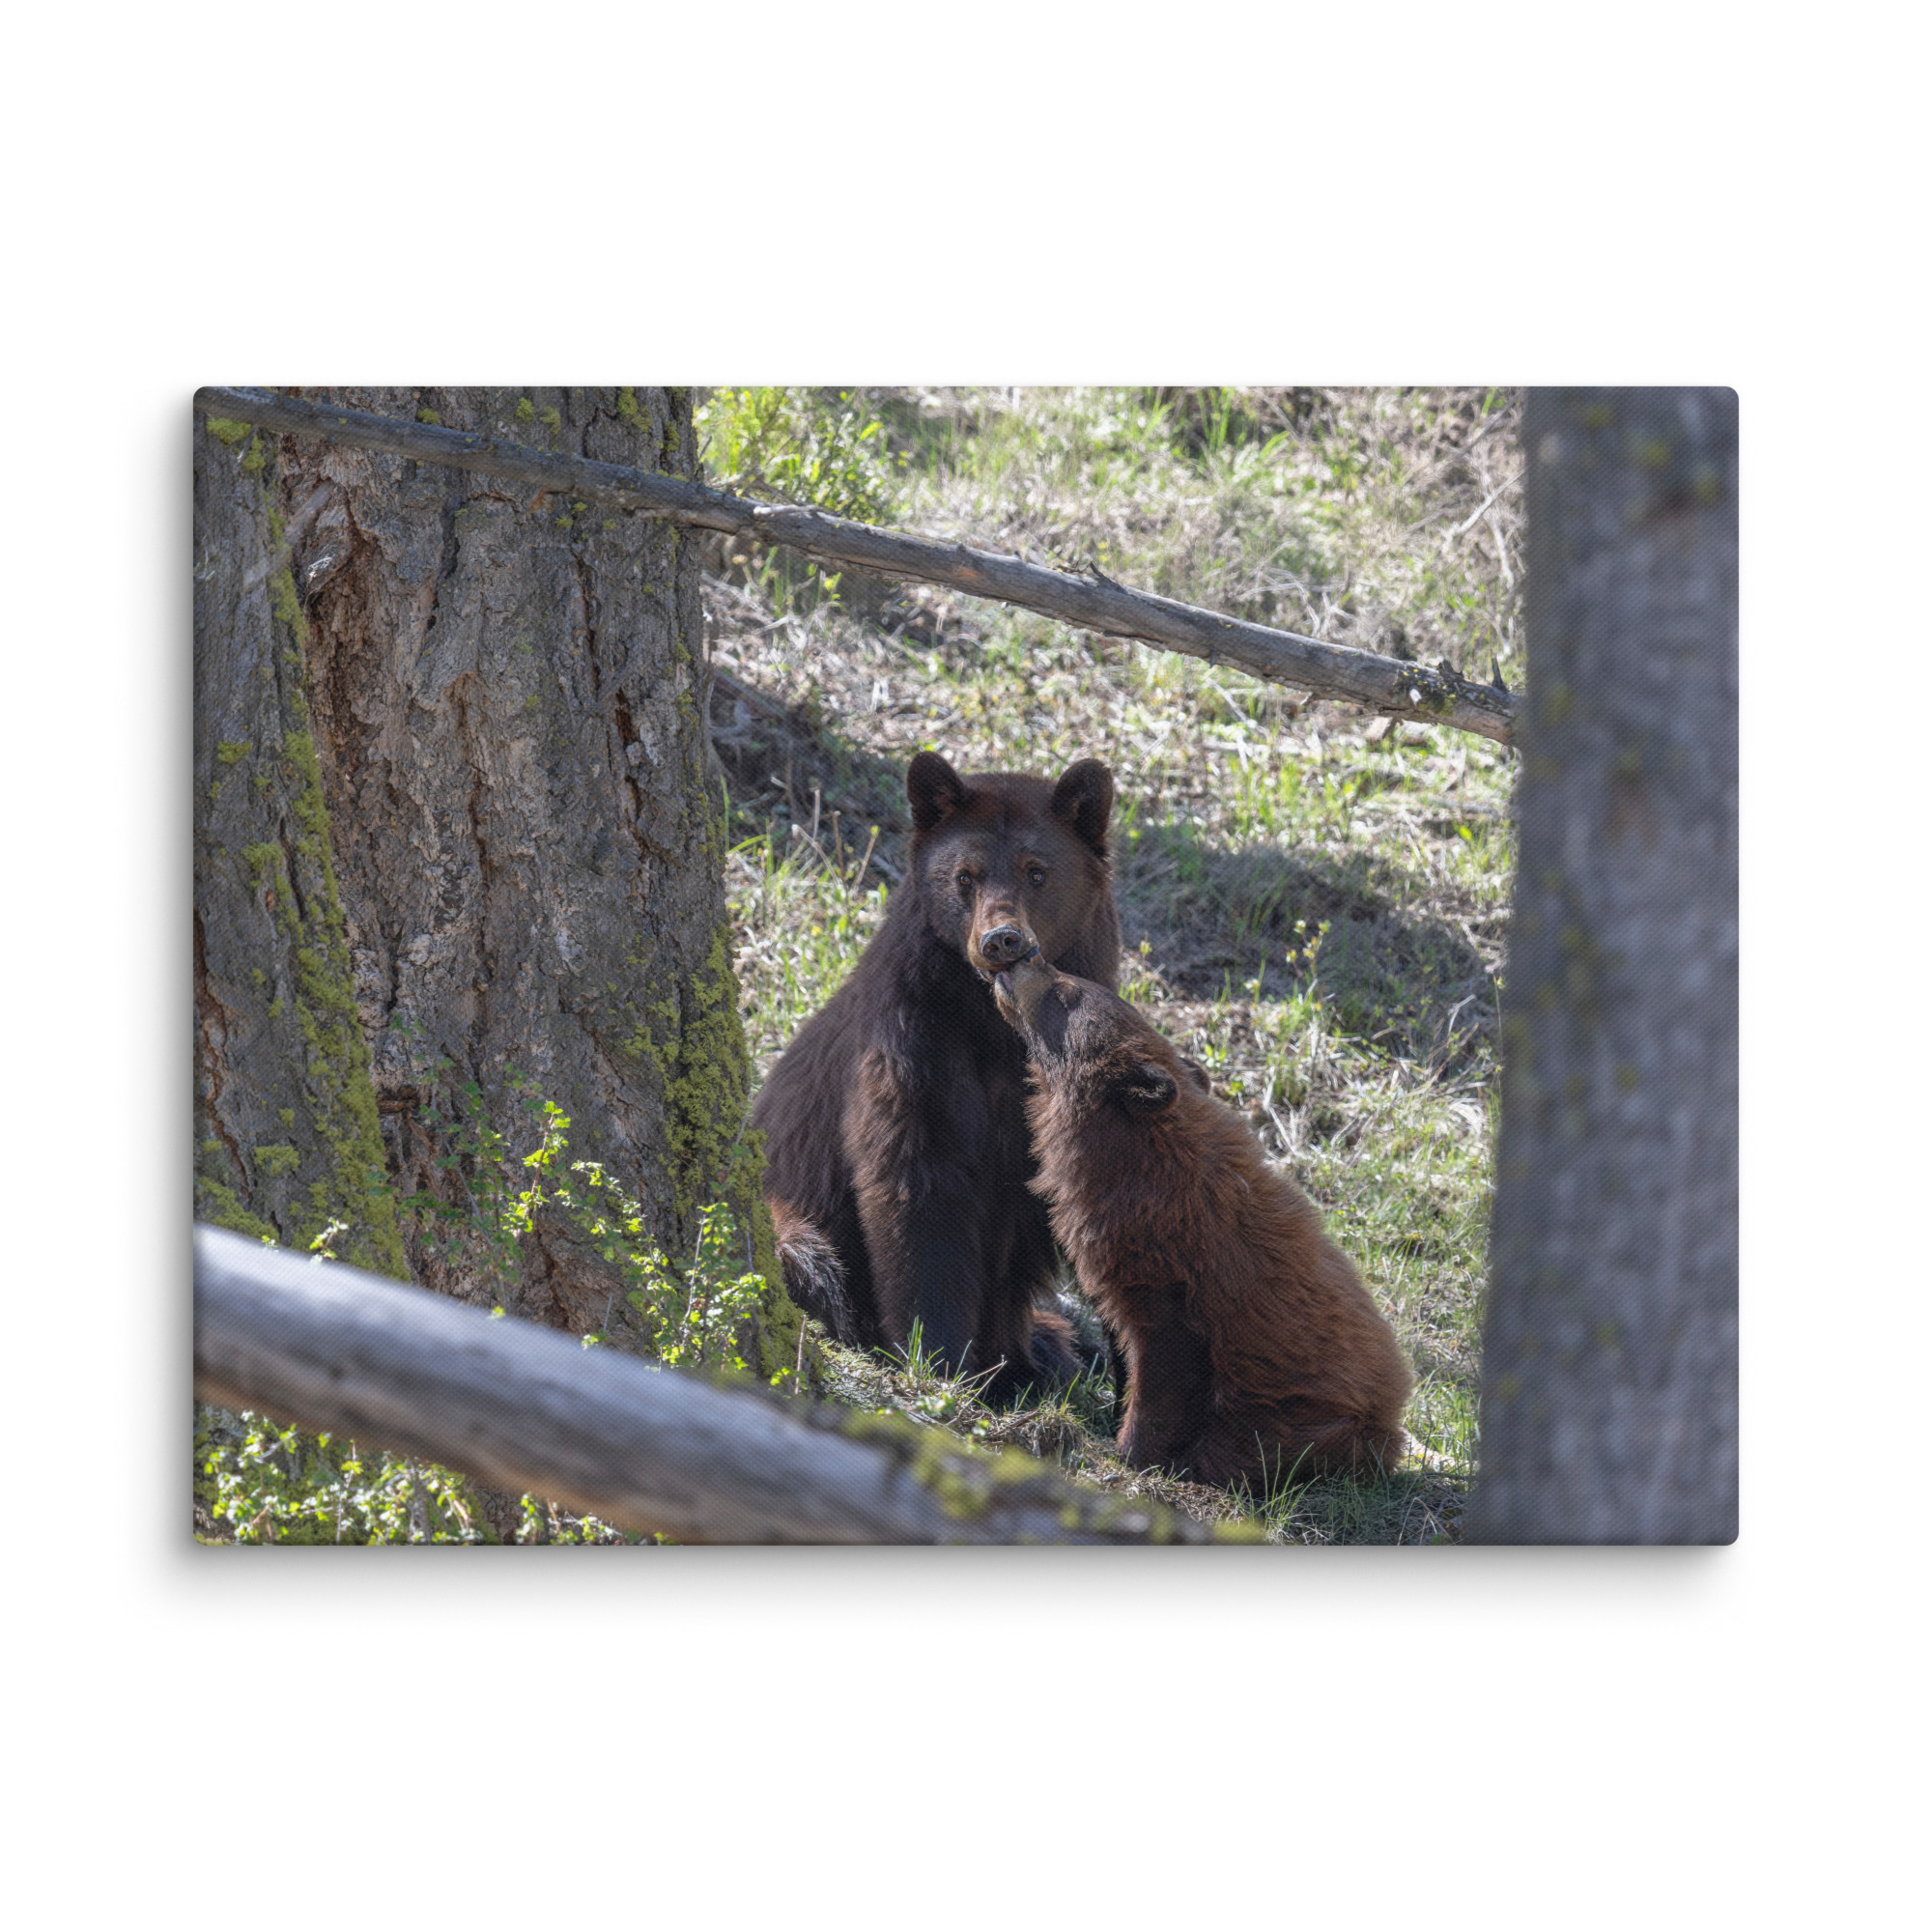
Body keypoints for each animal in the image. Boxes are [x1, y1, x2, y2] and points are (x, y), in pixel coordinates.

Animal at [750, 750, 1122, 1405]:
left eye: (1037, 873)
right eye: (965, 877)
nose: (1002, 940)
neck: (994, 1026)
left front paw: (1019, 1359)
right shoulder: (913, 1042)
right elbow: (917, 1185)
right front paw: (941, 1359)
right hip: (788, 1216)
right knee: (809, 1259)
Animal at [989, 948, 1414, 1490]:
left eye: (1066, 992)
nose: (1028, 955)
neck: (1135, 1160)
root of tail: (1392, 1420)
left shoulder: (1173, 1271)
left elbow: (1165, 1365)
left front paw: (1130, 1451)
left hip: (1304, 1420)